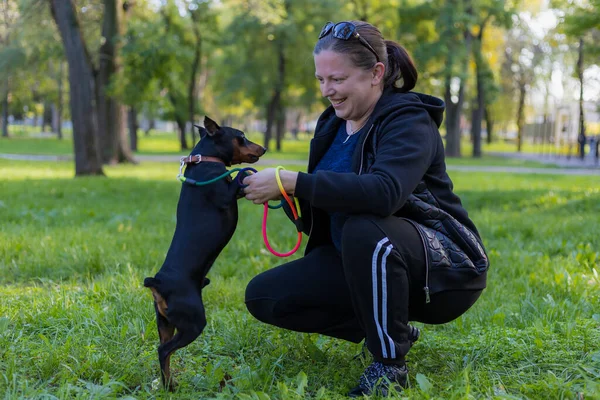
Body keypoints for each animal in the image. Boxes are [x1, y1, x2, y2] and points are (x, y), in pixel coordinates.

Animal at [143, 115, 264, 388]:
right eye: (241, 136)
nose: (263, 148)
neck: (206, 161)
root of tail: (158, 283)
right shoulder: (227, 195)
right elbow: (240, 176)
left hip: (165, 322)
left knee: (163, 350)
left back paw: (168, 384)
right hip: (194, 322)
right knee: (164, 351)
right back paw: (170, 387)